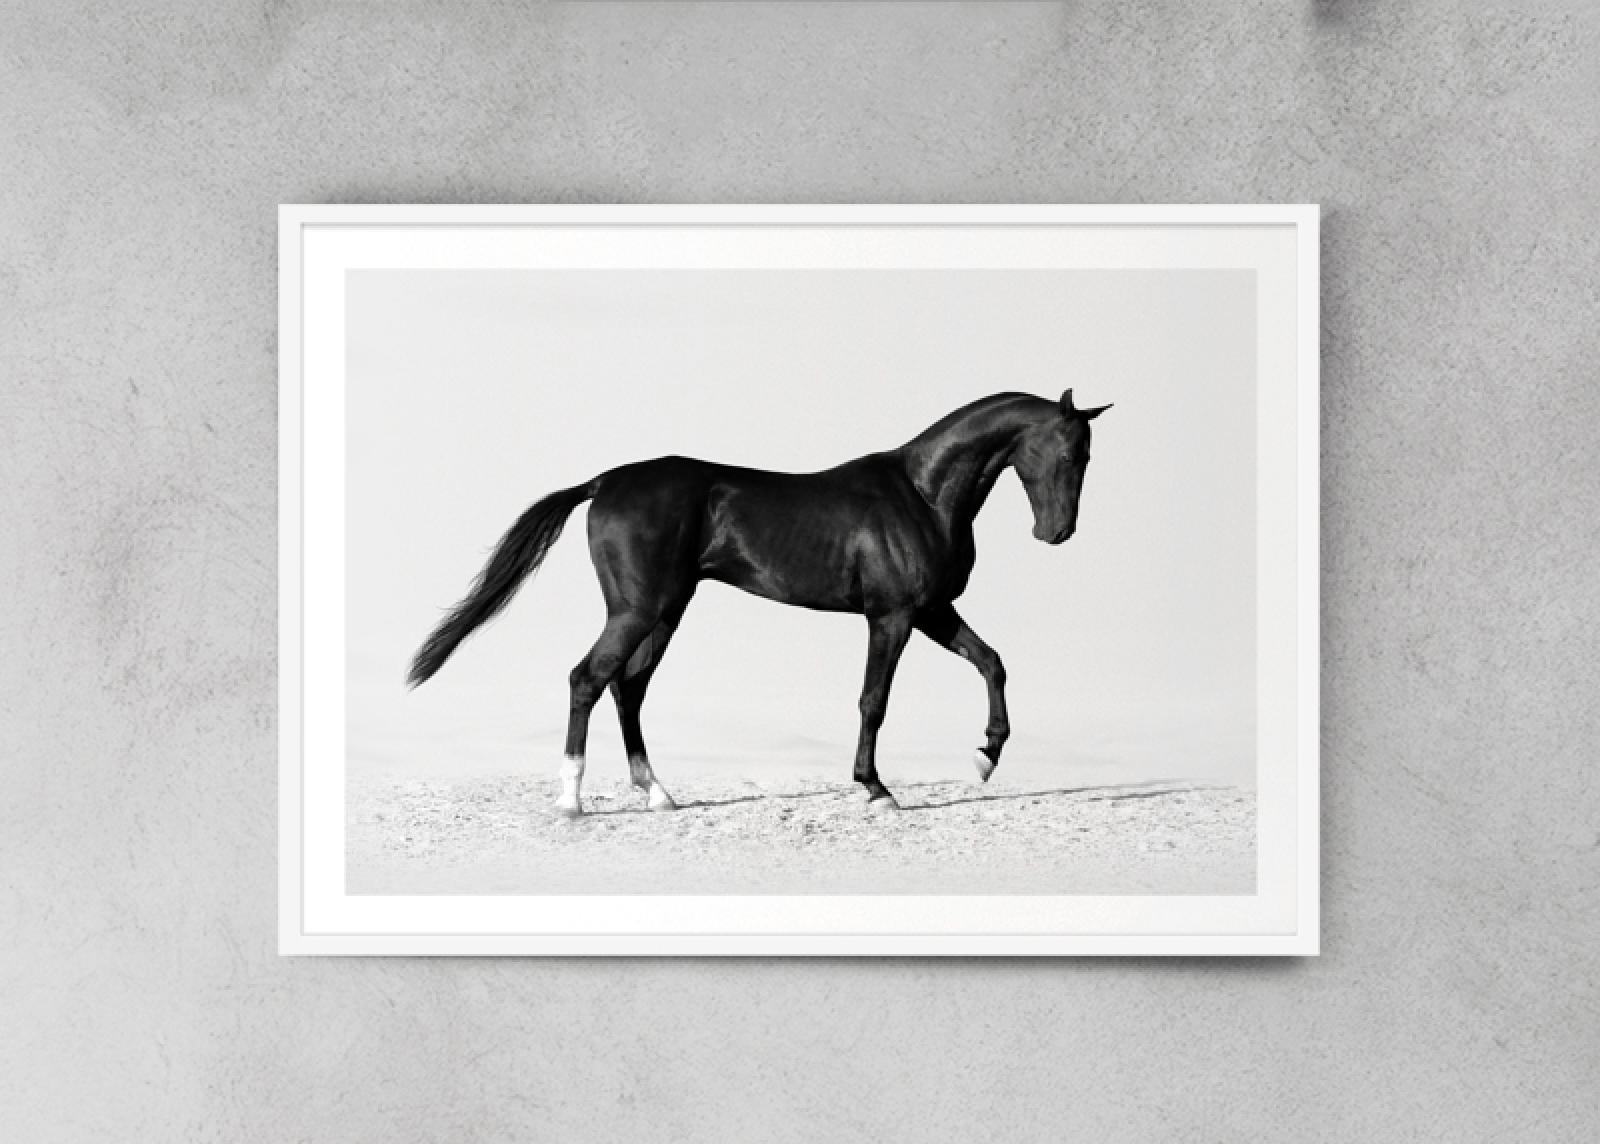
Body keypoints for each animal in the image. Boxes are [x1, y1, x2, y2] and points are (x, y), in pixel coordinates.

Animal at [408, 389, 1111, 815]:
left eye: (1087, 454)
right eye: (1063, 451)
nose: (1057, 532)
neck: (921, 494)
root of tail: (606, 482)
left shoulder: (933, 612)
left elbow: (993, 662)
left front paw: (985, 759)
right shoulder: (892, 617)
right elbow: (874, 701)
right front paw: (877, 790)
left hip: (666, 611)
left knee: (627, 687)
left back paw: (657, 794)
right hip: (637, 610)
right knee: (589, 678)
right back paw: (571, 800)